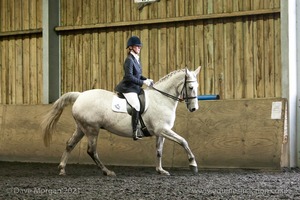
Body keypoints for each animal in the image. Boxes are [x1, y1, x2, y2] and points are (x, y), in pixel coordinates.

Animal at [41, 66, 202, 176]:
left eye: (197, 86)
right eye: (190, 87)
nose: (194, 108)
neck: (162, 98)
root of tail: (80, 95)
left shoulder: (160, 132)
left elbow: (159, 151)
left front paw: (160, 170)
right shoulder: (163, 129)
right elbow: (183, 141)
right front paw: (193, 164)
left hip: (81, 128)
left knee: (70, 144)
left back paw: (62, 169)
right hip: (92, 129)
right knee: (91, 151)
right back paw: (107, 172)